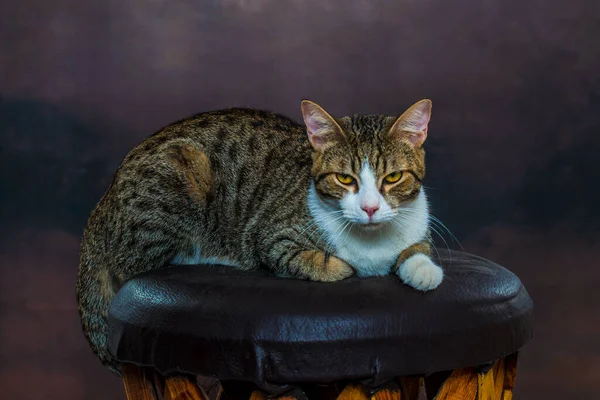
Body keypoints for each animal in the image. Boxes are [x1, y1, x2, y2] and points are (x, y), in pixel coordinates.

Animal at [75, 98, 442, 374]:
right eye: (344, 179)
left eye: (393, 177)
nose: (369, 208)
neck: (373, 241)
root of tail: (104, 201)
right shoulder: (271, 237)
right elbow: (321, 263)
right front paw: (345, 266)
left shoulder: (418, 226)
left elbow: (418, 247)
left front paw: (423, 270)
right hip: (178, 179)